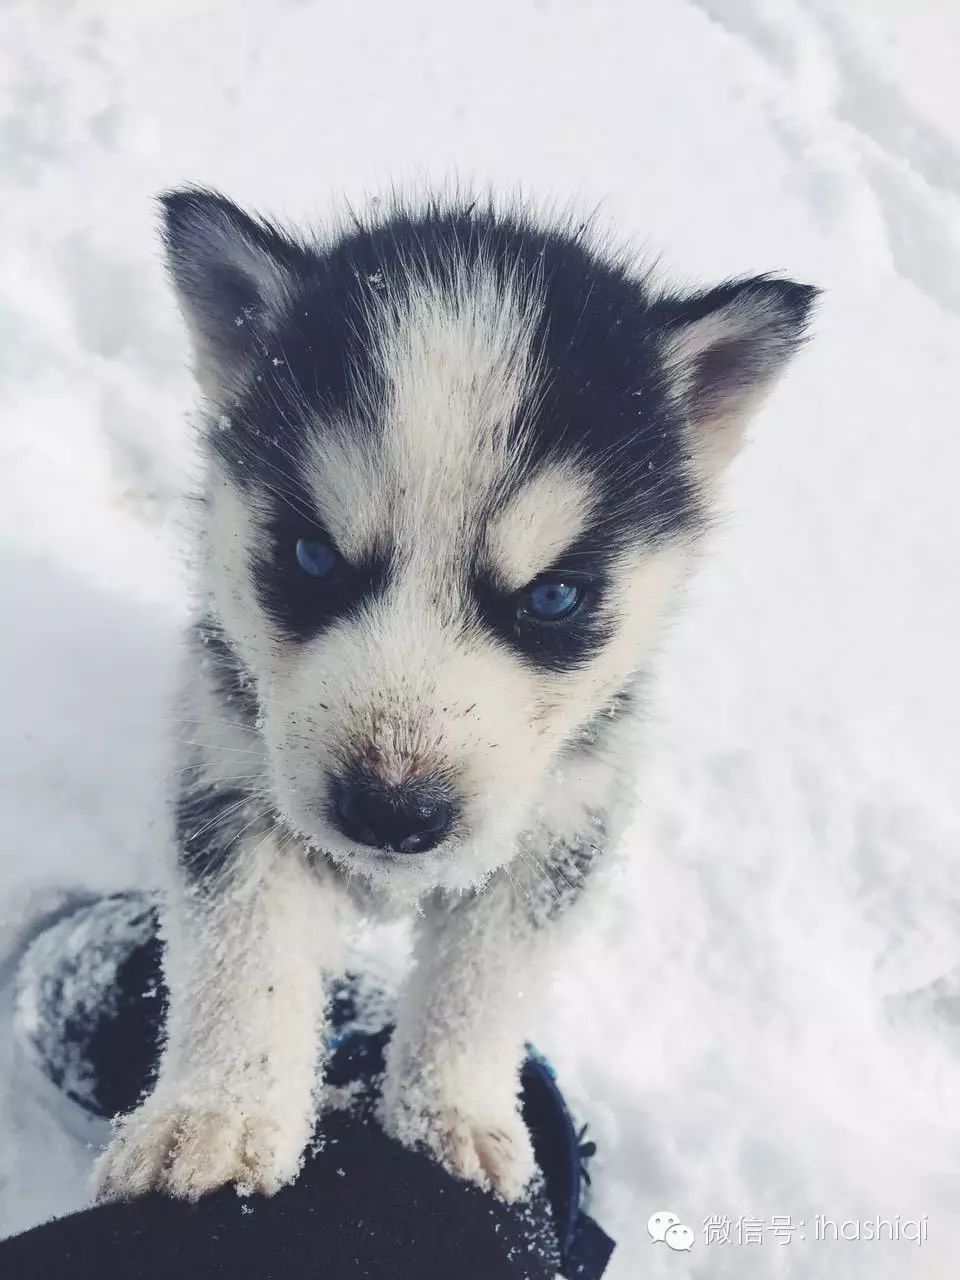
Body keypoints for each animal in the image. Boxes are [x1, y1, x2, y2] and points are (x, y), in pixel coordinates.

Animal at [96, 189, 819, 1198]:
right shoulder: (233, 777)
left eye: (554, 597)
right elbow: (248, 950)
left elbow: (485, 983)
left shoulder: (564, 816)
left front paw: (453, 1117)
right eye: (311, 556)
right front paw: (217, 1119)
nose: (392, 813)